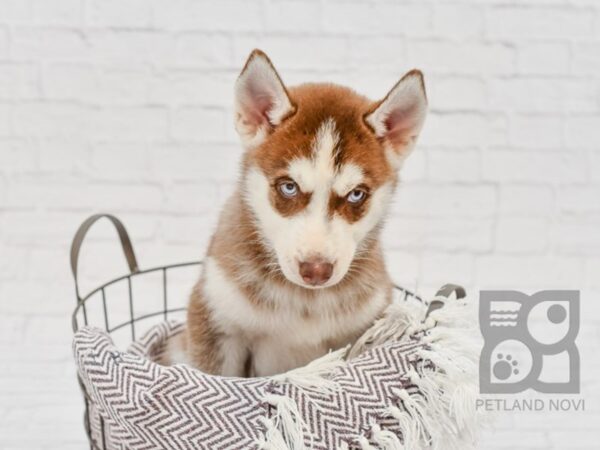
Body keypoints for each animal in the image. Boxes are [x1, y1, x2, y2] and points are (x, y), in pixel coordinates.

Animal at [182, 49, 426, 378]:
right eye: (289, 187)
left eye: (356, 194)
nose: (316, 270)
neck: (304, 303)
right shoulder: (217, 324)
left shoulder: (364, 327)